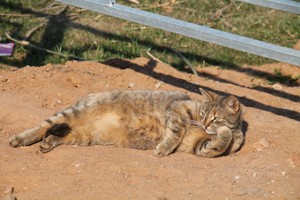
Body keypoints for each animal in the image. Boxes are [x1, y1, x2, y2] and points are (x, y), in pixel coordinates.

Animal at [8, 88, 244, 157]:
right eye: (203, 114)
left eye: (215, 117)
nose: (205, 124)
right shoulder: (178, 110)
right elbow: (175, 133)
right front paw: (163, 148)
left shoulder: (200, 146)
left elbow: (221, 142)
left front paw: (223, 133)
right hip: (70, 114)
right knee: (43, 125)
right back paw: (20, 139)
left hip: (81, 136)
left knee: (57, 134)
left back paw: (48, 143)